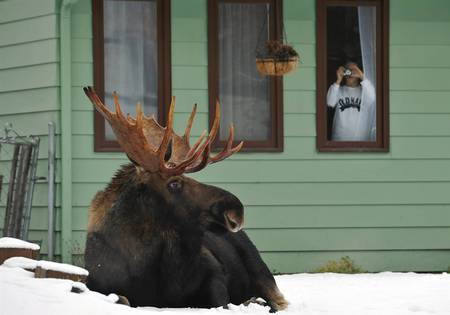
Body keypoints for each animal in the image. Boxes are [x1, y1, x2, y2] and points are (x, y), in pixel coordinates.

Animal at [82, 87, 288, 314]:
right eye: (174, 183)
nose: (236, 209)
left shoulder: (215, 274)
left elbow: (222, 303)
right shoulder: (98, 285)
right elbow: (122, 298)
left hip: (261, 271)